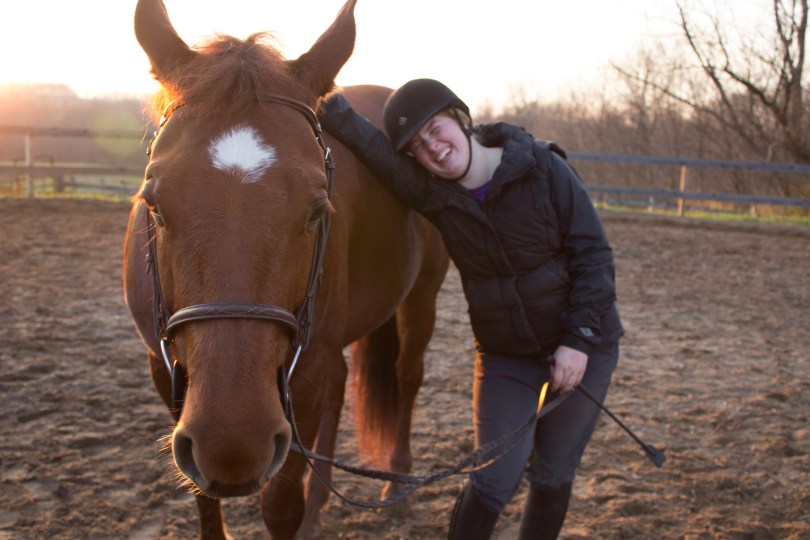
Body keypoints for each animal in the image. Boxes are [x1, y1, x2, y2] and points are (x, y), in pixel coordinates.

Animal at [122, 0, 449, 538]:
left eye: (317, 209)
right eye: (153, 203)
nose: (233, 443)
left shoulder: (305, 372)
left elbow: (280, 505)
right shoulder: (164, 367)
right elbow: (203, 501)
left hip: (420, 297)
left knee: (406, 376)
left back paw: (396, 484)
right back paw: (320, 501)